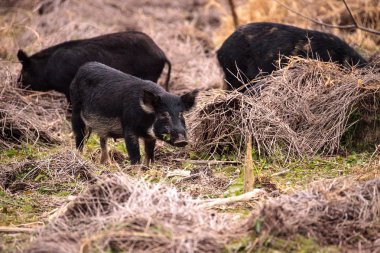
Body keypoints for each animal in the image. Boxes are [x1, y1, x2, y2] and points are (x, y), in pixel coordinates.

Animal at [17, 30, 171, 100]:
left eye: (24, 69)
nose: (17, 84)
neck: (47, 68)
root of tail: (162, 53)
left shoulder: (68, 87)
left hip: (150, 75)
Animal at [70, 62, 199, 166]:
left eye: (181, 114)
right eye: (163, 114)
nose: (182, 140)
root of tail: (82, 68)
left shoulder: (150, 136)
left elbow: (150, 153)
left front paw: (149, 167)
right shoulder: (128, 127)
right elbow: (135, 154)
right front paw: (137, 170)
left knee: (103, 141)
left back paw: (106, 164)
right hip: (75, 110)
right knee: (79, 138)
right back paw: (80, 158)